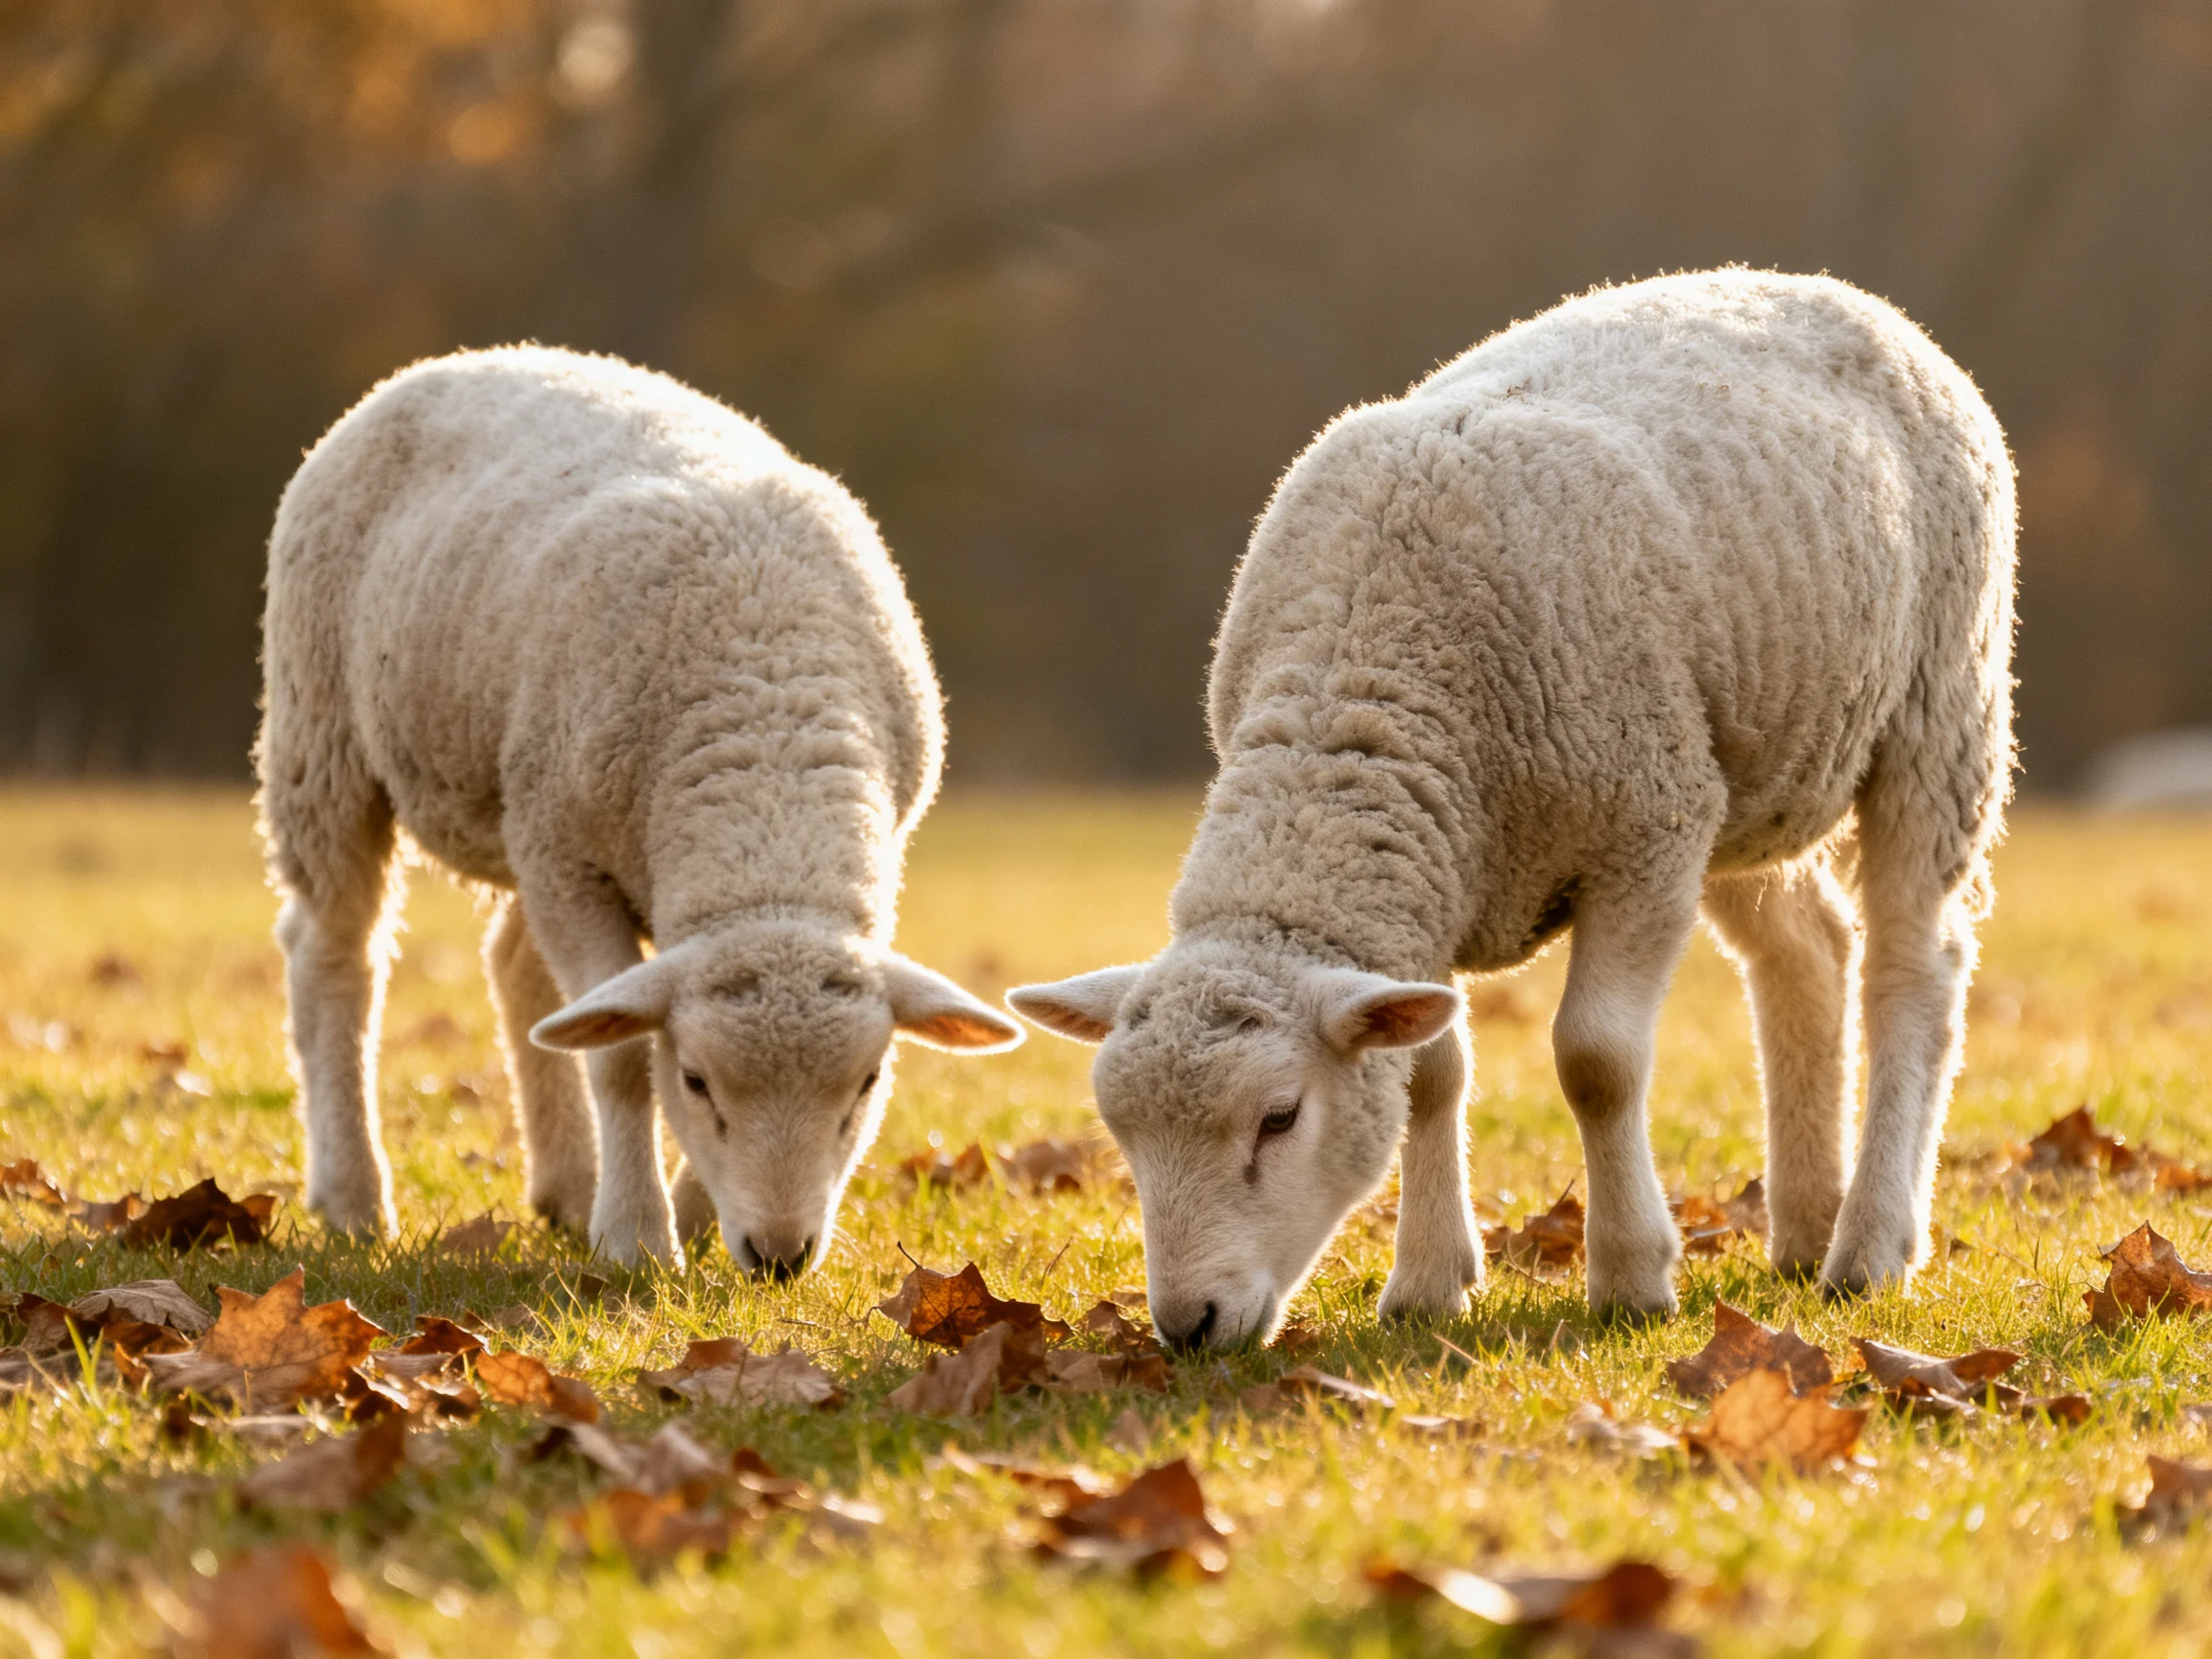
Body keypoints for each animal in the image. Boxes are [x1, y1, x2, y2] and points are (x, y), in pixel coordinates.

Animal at [256, 344, 1021, 1273]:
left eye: (867, 1083)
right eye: (695, 1080)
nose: (780, 1254)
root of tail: (471, 357)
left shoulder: (568, 847)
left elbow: (599, 1022)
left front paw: (689, 1219)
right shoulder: (569, 857)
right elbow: (619, 1058)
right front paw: (639, 1240)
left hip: (520, 807)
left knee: (519, 971)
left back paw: (567, 1189)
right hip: (327, 734)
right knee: (336, 955)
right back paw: (355, 1198)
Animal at [1010, 270, 2016, 1348]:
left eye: (1279, 1117)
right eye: (1120, 1131)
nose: (1188, 1325)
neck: (1365, 685)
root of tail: (1824, 289)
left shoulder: (1643, 832)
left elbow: (1597, 1062)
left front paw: (1631, 1277)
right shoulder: (1452, 874)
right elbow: (1429, 1074)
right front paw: (1426, 1282)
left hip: (1938, 703)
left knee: (1914, 967)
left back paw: (1869, 1247)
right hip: (1747, 768)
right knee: (1807, 950)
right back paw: (1805, 1222)